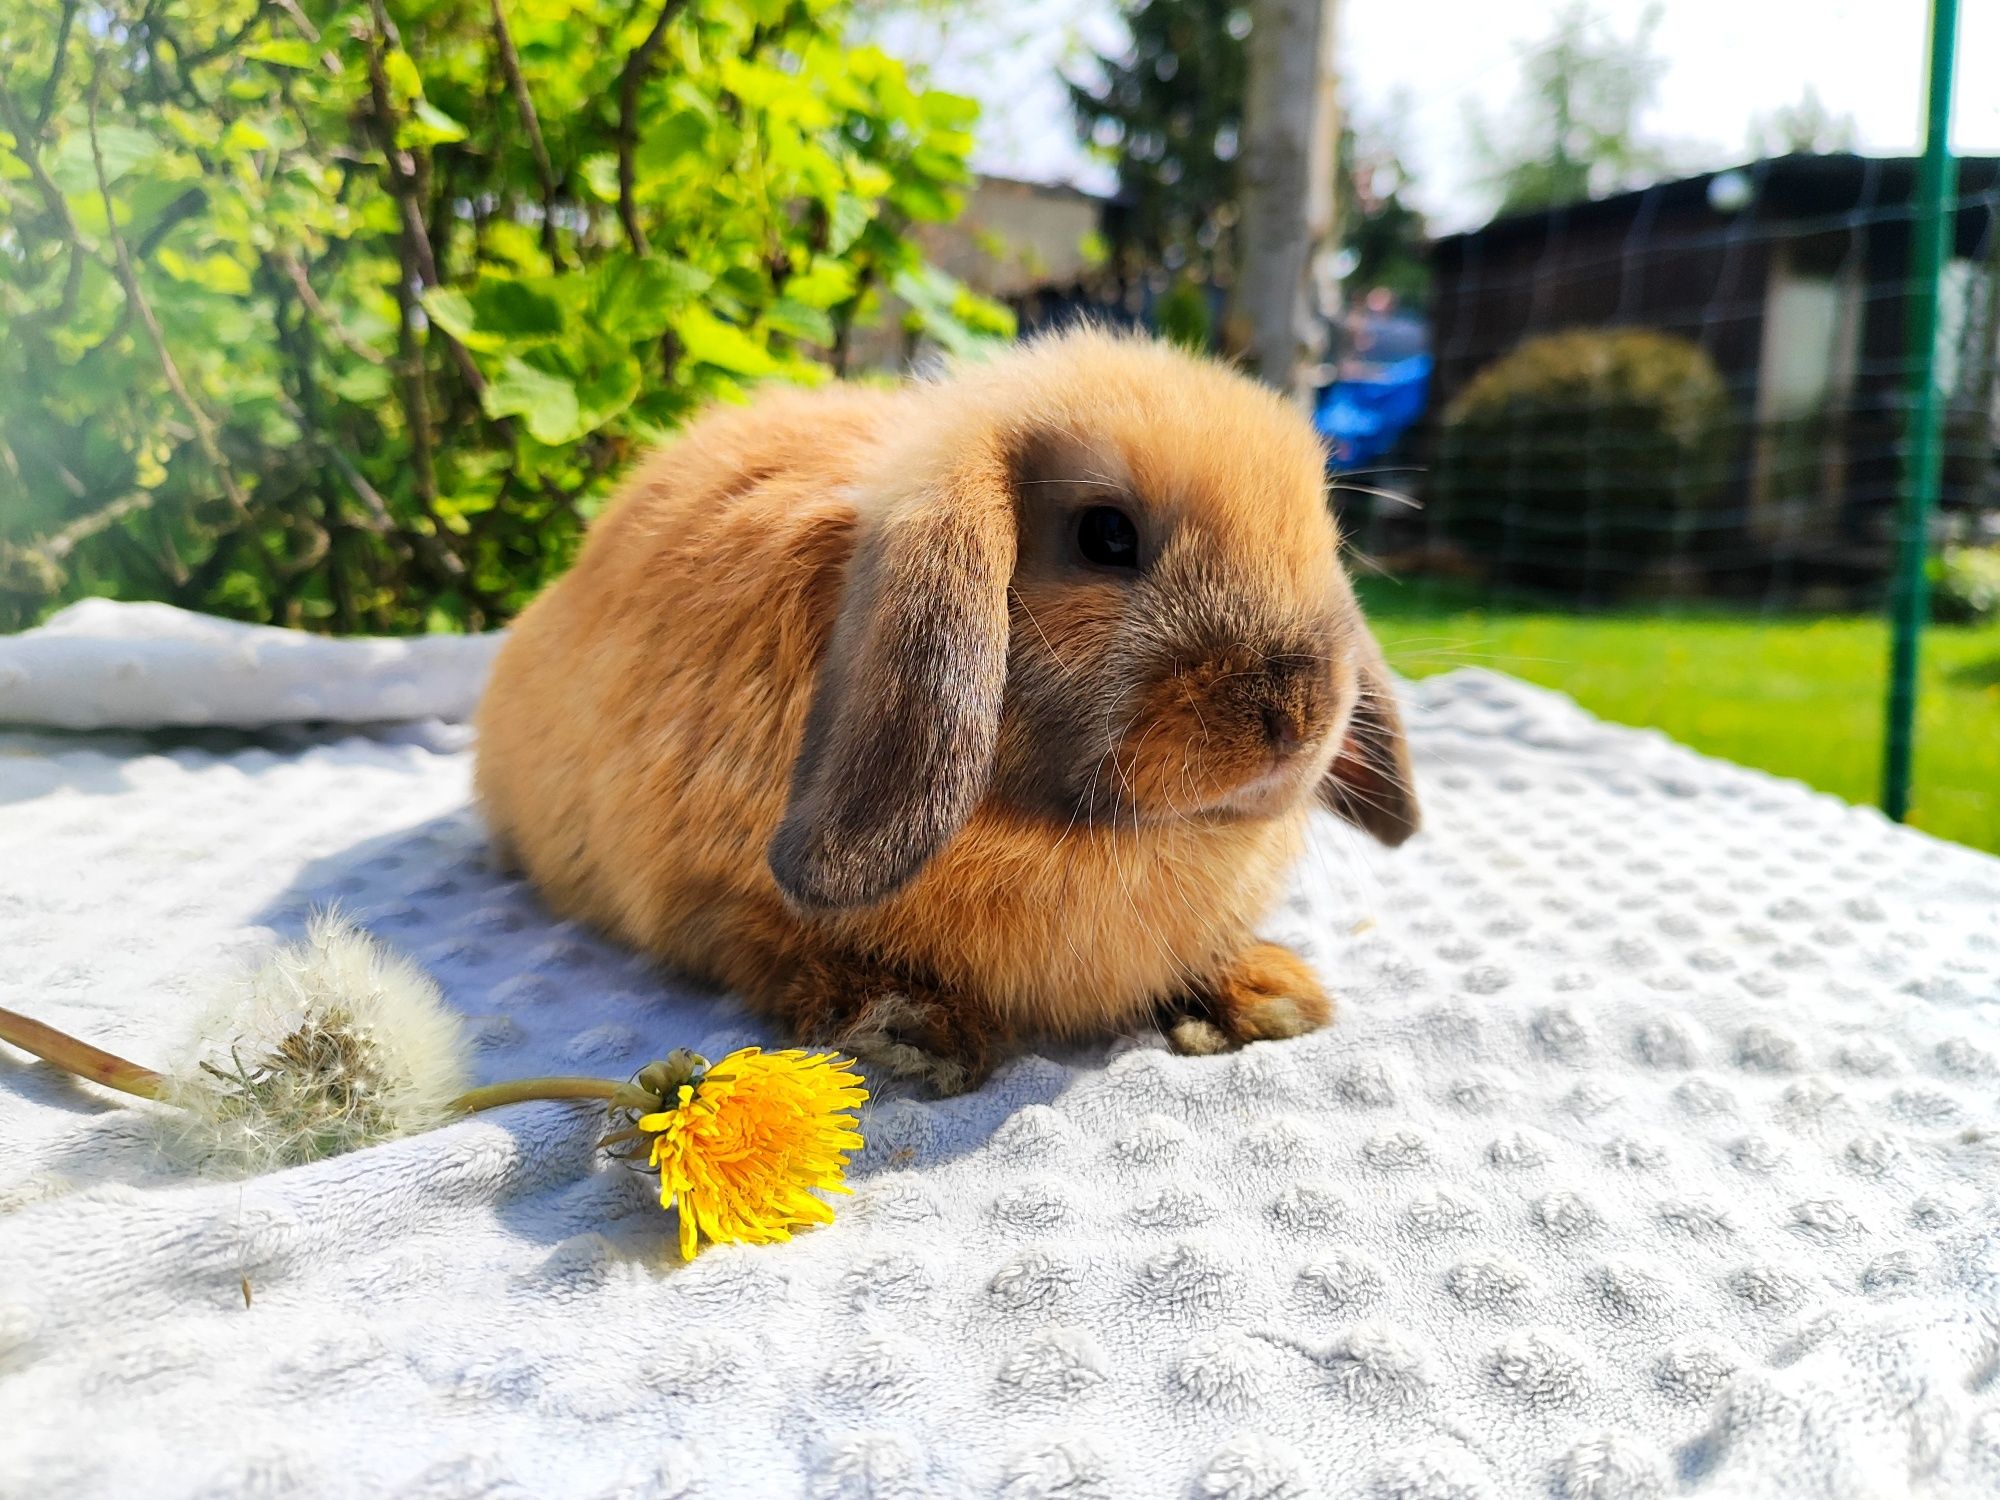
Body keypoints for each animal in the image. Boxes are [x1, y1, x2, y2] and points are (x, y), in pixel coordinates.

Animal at [478, 328, 1424, 1096]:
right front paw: (915, 1026)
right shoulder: (712, 903)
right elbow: (782, 952)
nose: (1297, 714)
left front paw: (1268, 996)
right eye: (1106, 536)